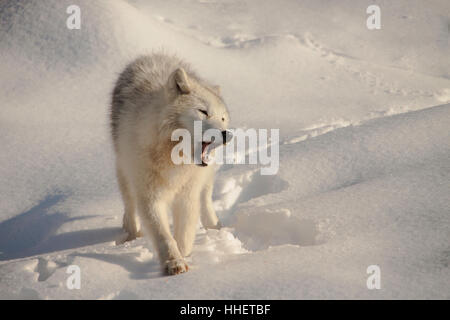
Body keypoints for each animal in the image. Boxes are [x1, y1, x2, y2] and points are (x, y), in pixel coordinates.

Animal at [109, 53, 230, 276]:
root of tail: (149, 56)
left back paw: (215, 228)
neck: (173, 159)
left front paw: (184, 256)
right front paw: (174, 263)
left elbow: (184, 234)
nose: (226, 134)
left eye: (223, 118)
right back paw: (130, 235)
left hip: (206, 179)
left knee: (206, 199)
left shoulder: (187, 195)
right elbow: (163, 236)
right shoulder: (149, 196)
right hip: (124, 172)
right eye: (203, 112)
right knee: (129, 206)